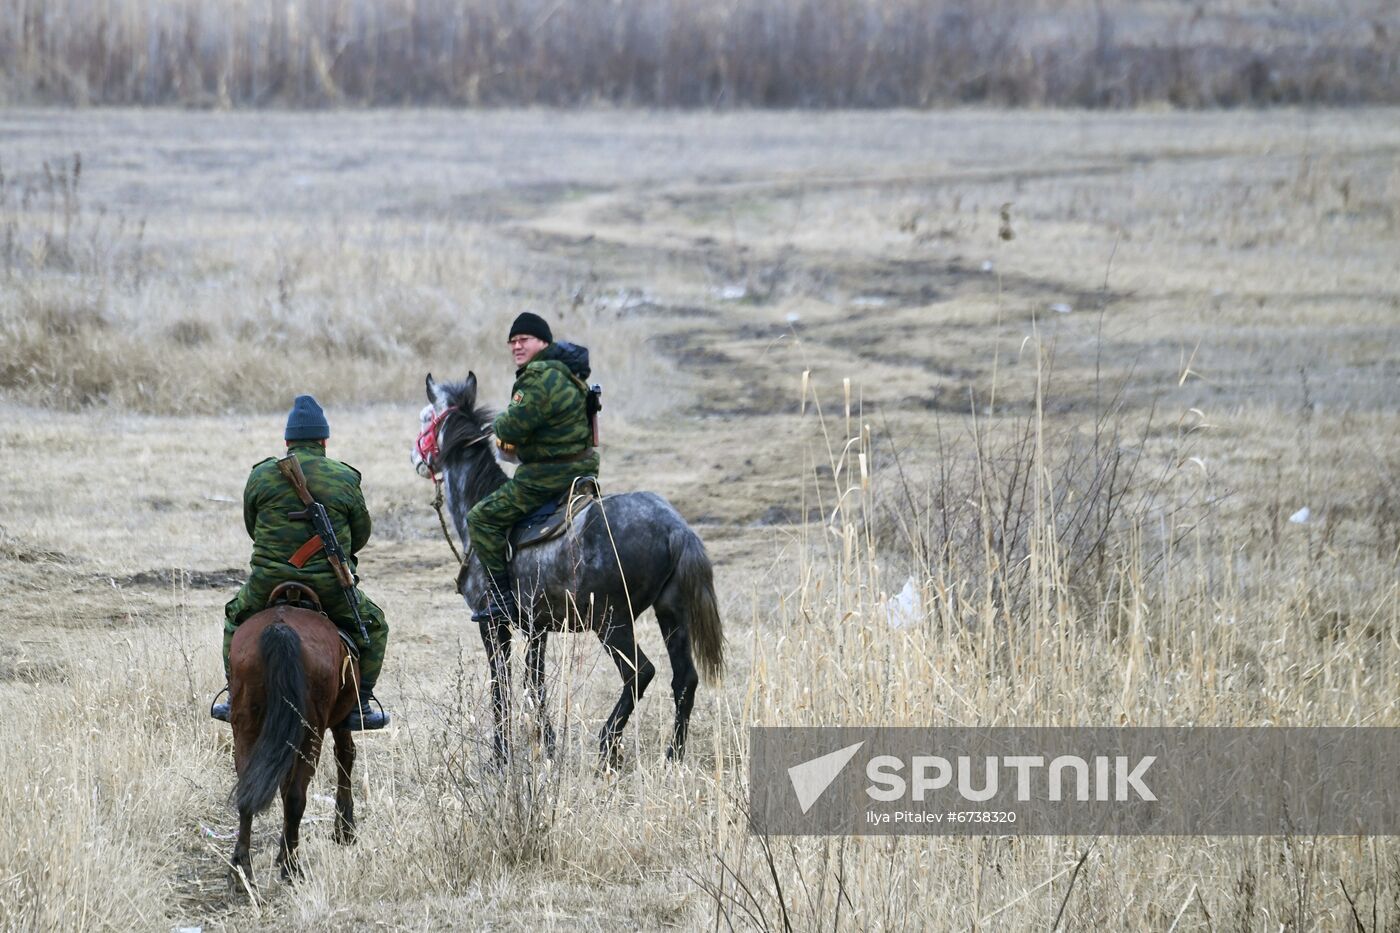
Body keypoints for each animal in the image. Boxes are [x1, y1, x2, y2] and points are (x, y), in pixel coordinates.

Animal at [229, 588, 361, 885]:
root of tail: (281, 628)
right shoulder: (341, 719)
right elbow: (345, 757)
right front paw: (345, 830)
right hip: (311, 732)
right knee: (296, 796)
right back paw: (292, 867)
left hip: (246, 728)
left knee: (249, 790)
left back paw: (241, 870)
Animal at [411, 369, 722, 762]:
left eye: (426, 417)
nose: (416, 458)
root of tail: (675, 528)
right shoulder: (537, 628)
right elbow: (535, 684)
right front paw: (548, 747)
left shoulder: (493, 624)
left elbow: (501, 686)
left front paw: (500, 756)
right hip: (671, 613)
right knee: (685, 678)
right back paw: (673, 755)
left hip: (612, 622)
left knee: (640, 673)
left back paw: (607, 746)